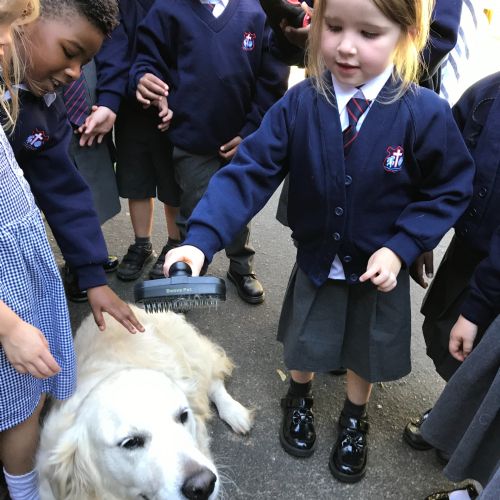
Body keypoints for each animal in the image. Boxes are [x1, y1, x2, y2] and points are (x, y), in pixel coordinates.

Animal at [36, 306, 252, 498]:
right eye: (130, 442)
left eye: (183, 416)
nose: (204, 485)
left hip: (192, 353)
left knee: (214, 378)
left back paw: (235, 412)